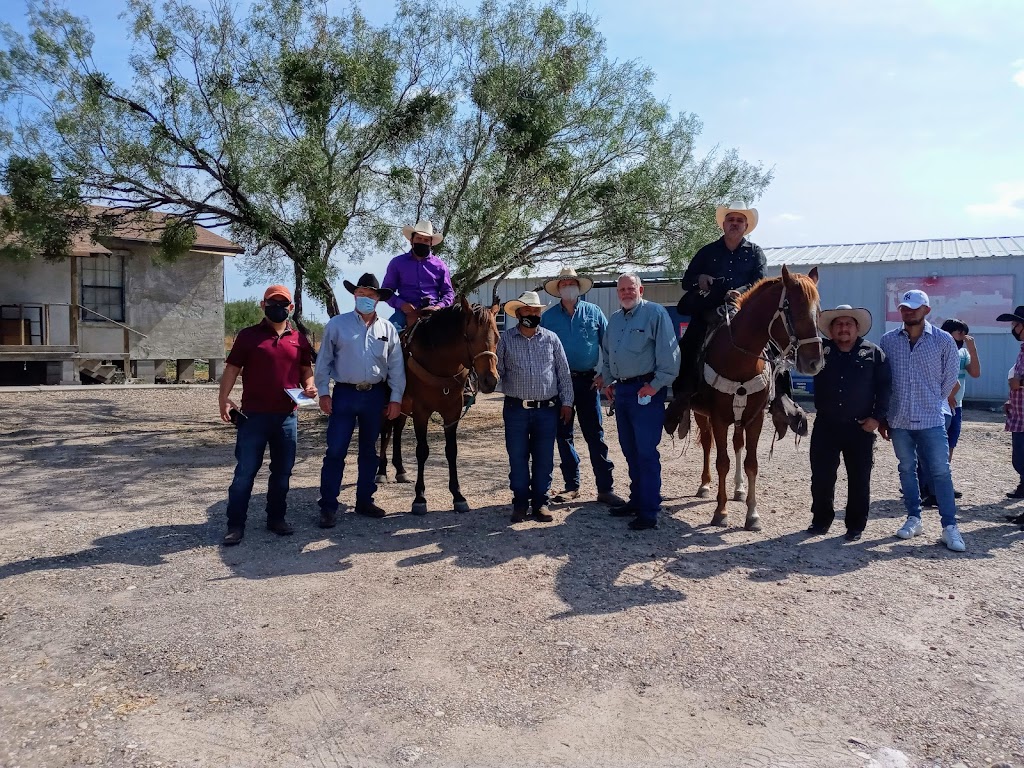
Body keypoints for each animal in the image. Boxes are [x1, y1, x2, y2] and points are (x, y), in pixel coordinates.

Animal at [378, 299, 501, 518]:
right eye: (469, 336)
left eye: (497, 337)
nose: (490, 380)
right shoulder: (421, 412)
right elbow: (422, 451)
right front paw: (419, 498)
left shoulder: (452, 412)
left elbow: (451, 451)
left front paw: (458, 496)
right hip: (390, 405)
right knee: (386, 432)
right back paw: (382, 472)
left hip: (402, 406)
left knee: (397, 430)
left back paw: (401, 471)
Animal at [679, 268, 823, 532]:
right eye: (792, 310)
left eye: (817, 311)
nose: (814, 362)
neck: (739, 357)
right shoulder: (719, 418)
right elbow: (722, 462)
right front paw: (721, 511)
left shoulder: (754, 419)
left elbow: (751, 463)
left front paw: (752, 514)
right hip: (702, 414)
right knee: (707, 443)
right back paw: (705, 485)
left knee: (738, 444)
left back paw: (739, 489)